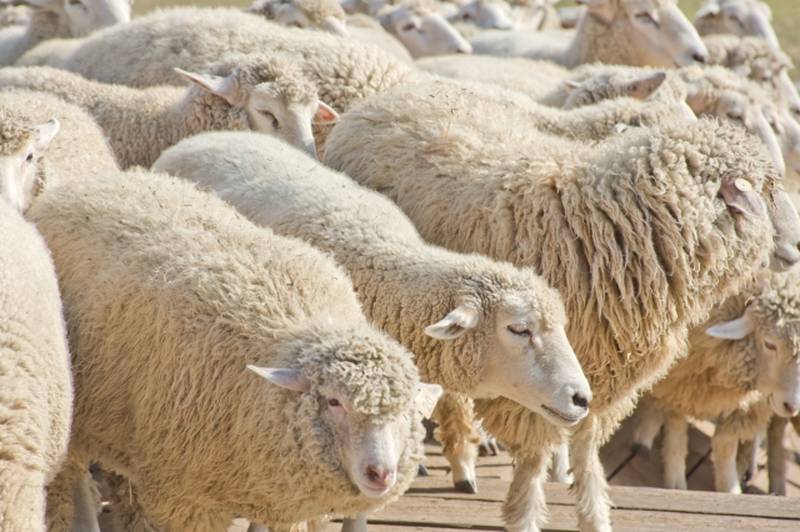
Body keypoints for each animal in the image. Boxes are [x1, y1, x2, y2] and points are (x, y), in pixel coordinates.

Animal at [31, 167, 442, 532]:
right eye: (333, 401)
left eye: (406, 412)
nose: (380, 473)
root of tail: (97, 180)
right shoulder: (187, 497)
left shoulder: (273, 490)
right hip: (76, 413)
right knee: (74, 477)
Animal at [632, 268, 800, 492]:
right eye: (769, 344)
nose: (792, 406)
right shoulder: (680, 378)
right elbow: (676, 426)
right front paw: (675, 478)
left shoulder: (746, 404)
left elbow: (725, 444)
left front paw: (730, 488)